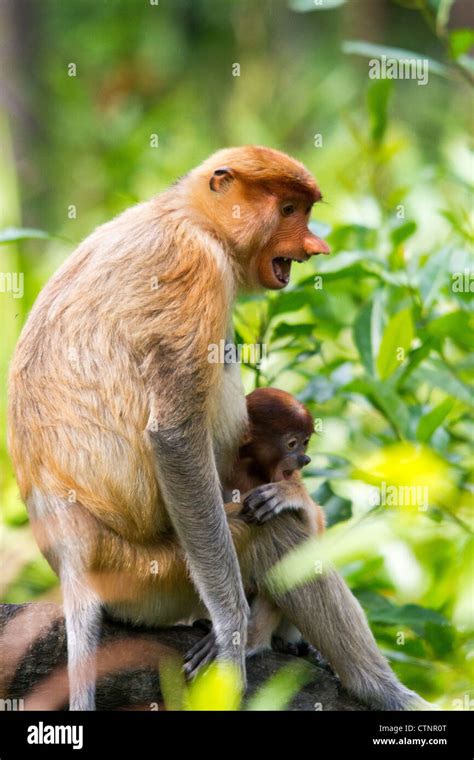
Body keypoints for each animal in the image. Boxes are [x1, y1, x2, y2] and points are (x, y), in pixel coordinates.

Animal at [9, 145, 426, 708]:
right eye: (289, 209)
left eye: (304, 209)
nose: (315, 247)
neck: (189, 216)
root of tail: (70, 556)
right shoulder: (194, 269)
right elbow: (175, 438)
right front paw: (232, 631)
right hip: (143, 574)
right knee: (275, 537)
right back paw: (378, 687)